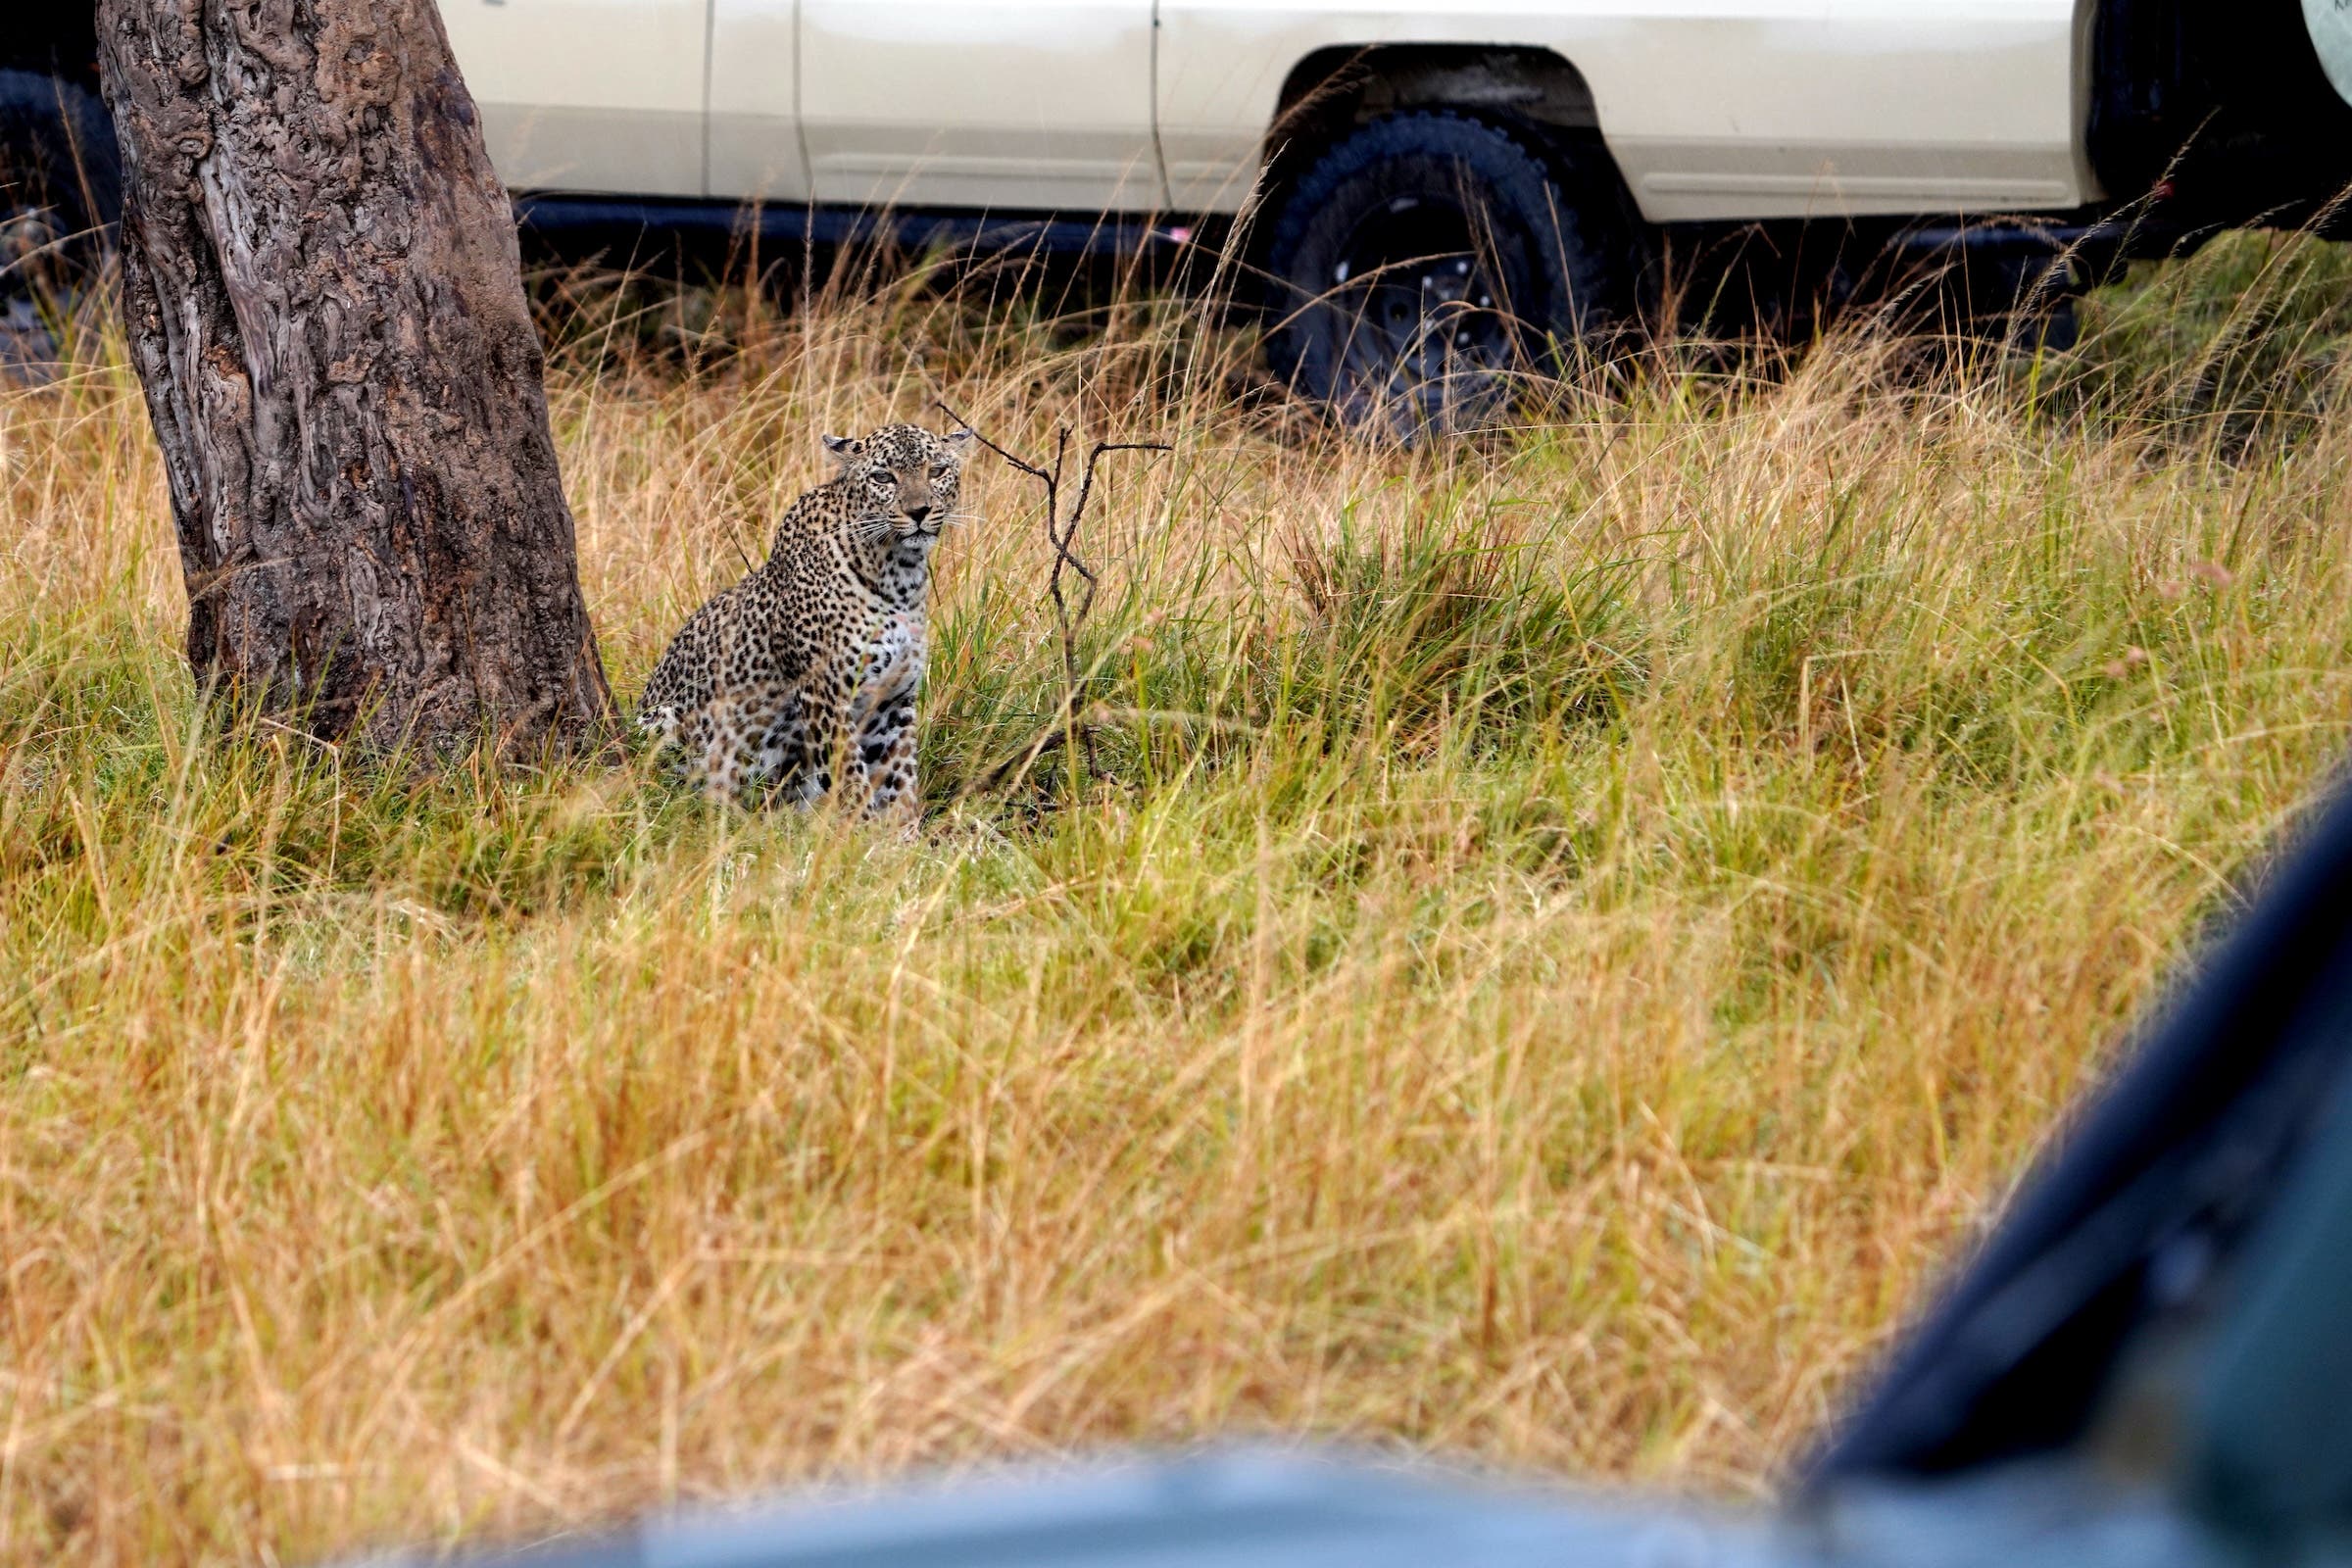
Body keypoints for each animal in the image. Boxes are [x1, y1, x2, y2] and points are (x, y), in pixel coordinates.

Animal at [636, 422, 977, 818]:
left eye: (936, 471)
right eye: (883, 477)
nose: (919, 511)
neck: (900, 575)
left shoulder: (891, 702)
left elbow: (899, 782)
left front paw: (902, 833)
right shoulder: (826, 693)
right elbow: (850, 778)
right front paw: (861, 831)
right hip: (663, 722)